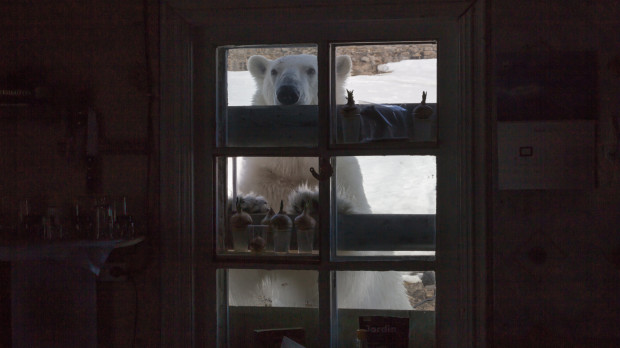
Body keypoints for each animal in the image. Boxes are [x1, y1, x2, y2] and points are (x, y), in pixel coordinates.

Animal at [228, 54, 412, 310]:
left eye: (311, 70)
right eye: (274, 71)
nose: (287, 94)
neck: (294, 167)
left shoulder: (345, 178)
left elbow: (350, 280)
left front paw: (312, 204)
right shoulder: (264, 177)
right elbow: (238, 278)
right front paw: (247, 206)